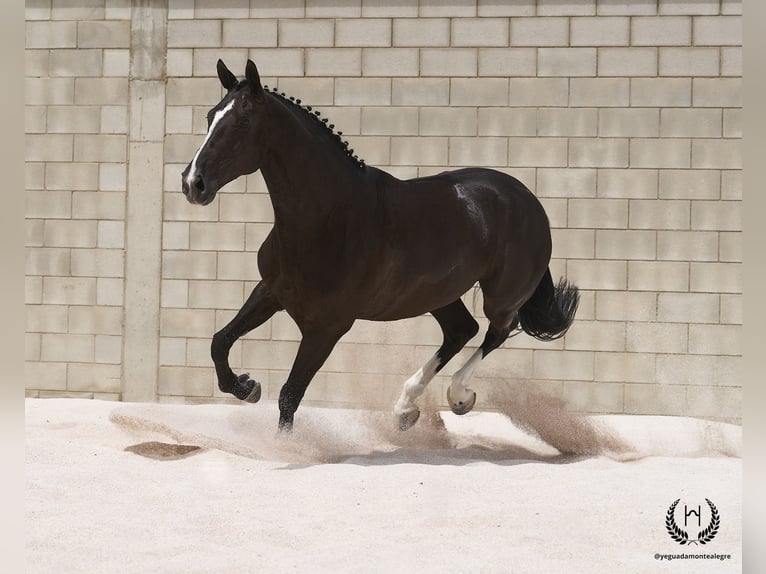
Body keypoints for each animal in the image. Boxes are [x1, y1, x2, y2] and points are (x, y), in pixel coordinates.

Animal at [180, 62, 580, 432]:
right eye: (210, 116)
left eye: (244, 121)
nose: (192, 183)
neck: (328, 217)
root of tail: (527, 198)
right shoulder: (271, 292)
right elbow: (219, 342)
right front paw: (247, 387)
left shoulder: (327, 327)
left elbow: (290, 395)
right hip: (436, 294)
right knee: (461, 330)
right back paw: (406, 408)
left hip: (500, 296)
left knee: (495, 331)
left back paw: (458, 396)